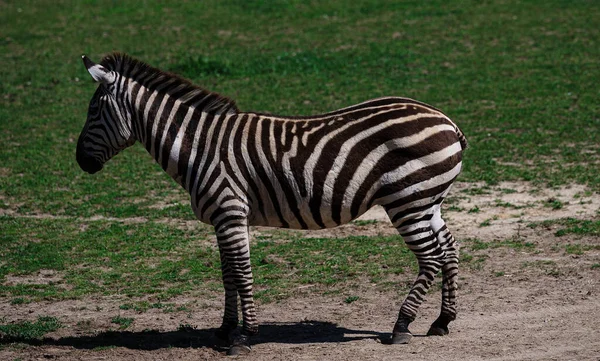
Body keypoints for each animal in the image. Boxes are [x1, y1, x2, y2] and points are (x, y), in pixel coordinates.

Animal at [76, 53, 468, 354]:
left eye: (94, 110)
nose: (80, 161)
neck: (198, 147)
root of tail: (448, 122)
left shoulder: (230, 211)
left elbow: (242, 273)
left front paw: (245, 337)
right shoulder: (225, 219)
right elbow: (228, 275)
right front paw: (225, 330)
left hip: (408, 200)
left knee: (430, 257)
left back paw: (402, 325)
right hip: (427, 201)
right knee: (449, 248)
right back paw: (442, 320)